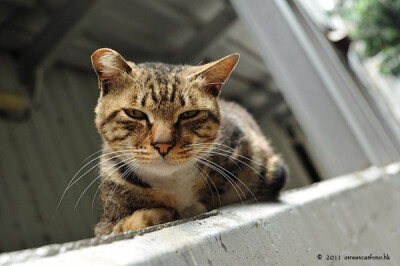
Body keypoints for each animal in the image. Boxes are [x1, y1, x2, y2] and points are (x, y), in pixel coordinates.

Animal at [90, 47, 288, 235]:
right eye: (135, 113)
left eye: (189, 114)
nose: (163, 145)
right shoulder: (106, 224)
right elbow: (124, 225)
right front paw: (161, 214)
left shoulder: (263, 160)